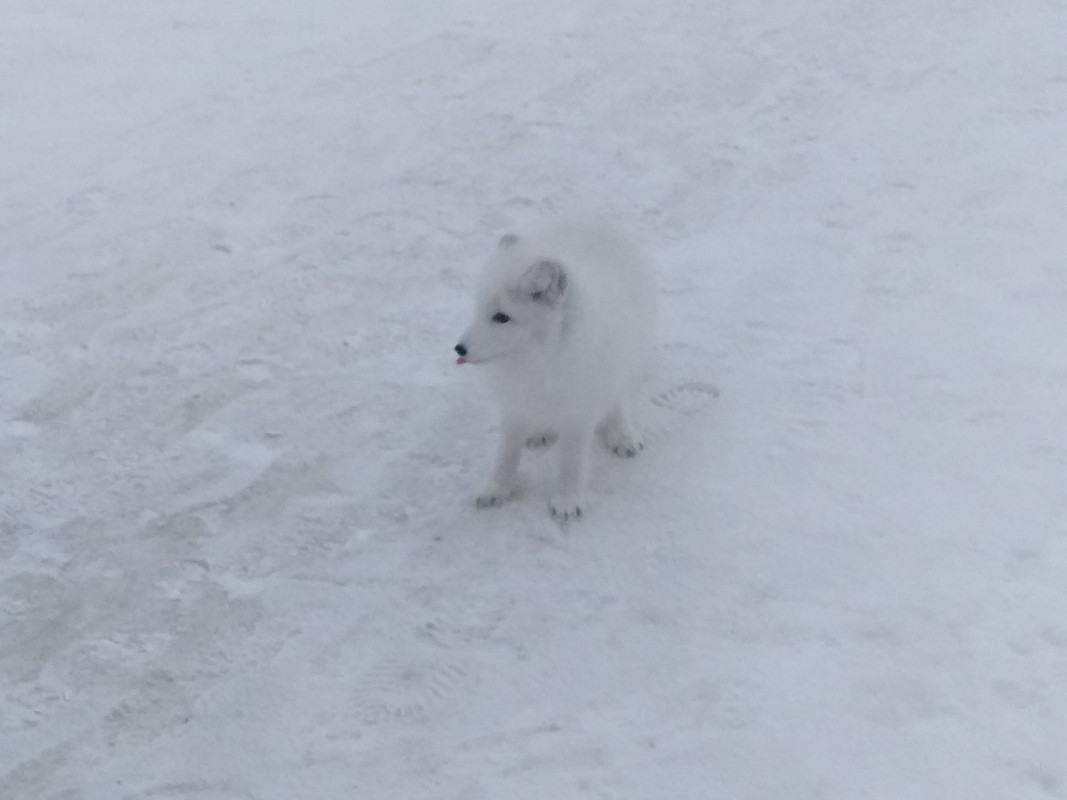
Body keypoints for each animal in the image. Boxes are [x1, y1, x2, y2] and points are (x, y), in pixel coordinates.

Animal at [452, 220, 657, 520]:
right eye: (479, 310)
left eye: (501, 317)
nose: (459, 349)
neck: (540, 358)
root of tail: (595, 222)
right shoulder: (515, 406)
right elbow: (506, 453)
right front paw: (497, 488)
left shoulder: (578, 410)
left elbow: (570, 461)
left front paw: (568, 500)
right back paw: (539, 432)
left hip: (621, 361)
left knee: (616, 400)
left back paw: (622, 434)